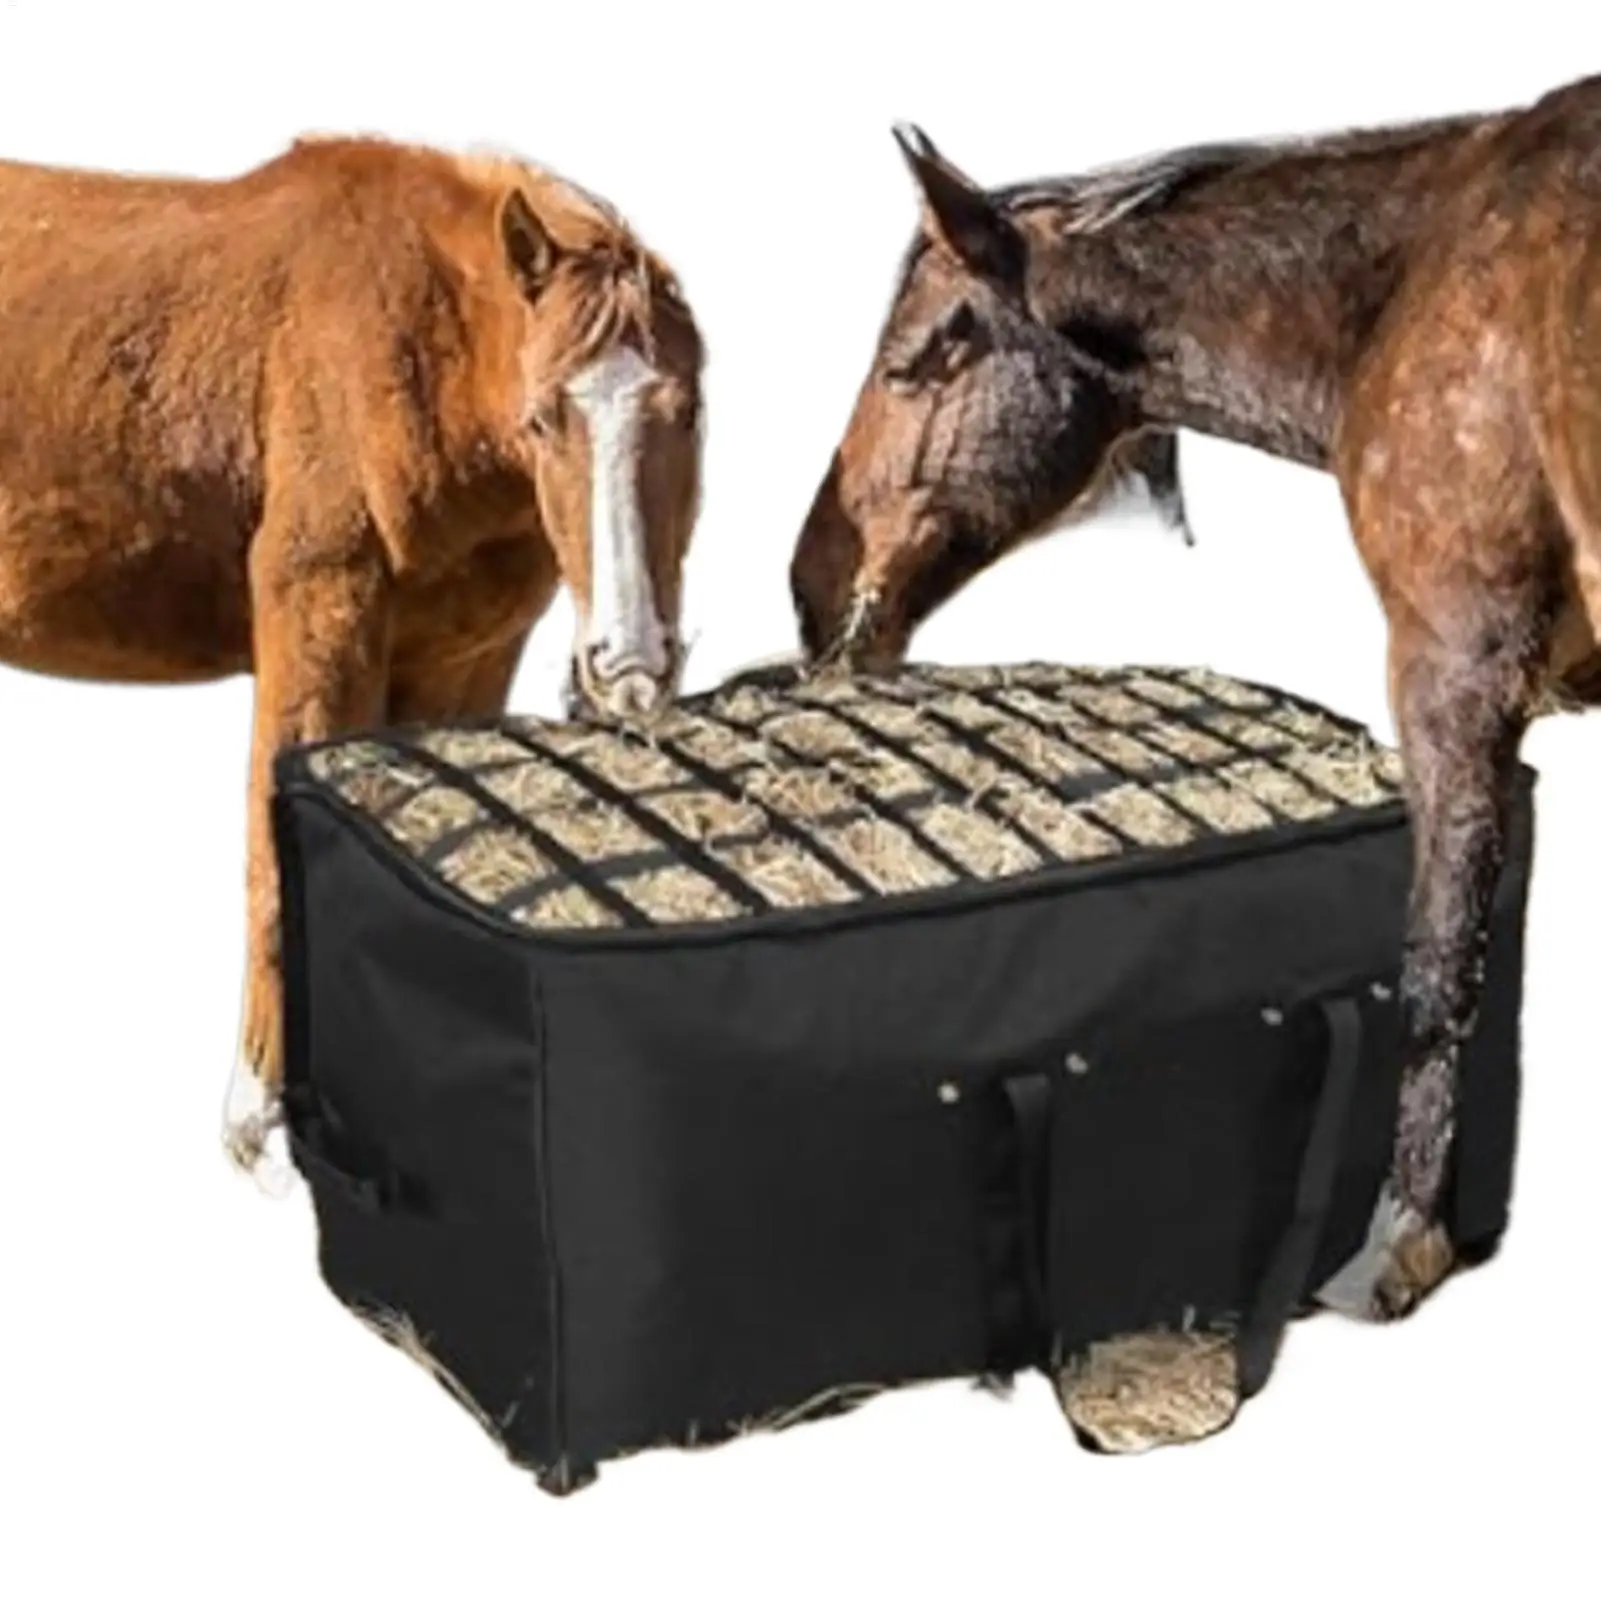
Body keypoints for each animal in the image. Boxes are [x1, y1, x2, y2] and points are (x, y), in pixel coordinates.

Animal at [0, 137, 703, 1182]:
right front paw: (259, 1117)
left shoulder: (463, 658)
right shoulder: (319, 612)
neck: (420, 347)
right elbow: (269, 856)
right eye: (543, 419)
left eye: (686, 413)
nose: (629, 664)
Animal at [790, 73, 1601, 1421]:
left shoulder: (1451, 673)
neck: (1414, 269)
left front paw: (1397, 1243)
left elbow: (1438, 964)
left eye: (926, 353)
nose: (811, 590)